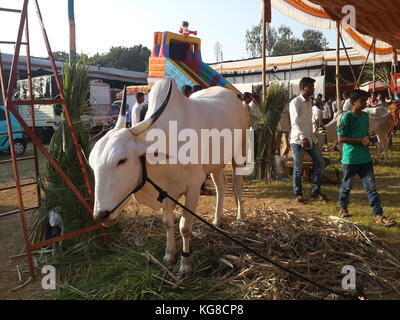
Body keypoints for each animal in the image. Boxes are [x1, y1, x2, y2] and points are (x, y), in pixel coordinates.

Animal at [89, 78, 248, 278]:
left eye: (121, 160)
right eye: (92, 164)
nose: (100, 215)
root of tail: (233, 96)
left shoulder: (194, 187)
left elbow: (185, 226)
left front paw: (186, 264)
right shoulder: (165, 190)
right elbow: (167, 222)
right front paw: (169, 255)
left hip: (239, 153)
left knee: (237, 185)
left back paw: (240, 216)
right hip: (215, 164)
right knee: (221, 187)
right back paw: (217, 220)